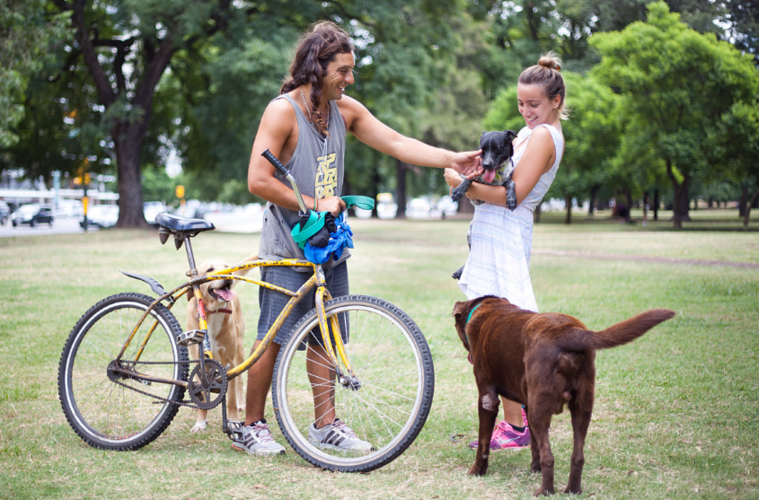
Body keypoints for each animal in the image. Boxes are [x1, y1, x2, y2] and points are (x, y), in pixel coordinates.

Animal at [187, 256, 258, 432]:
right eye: (210, 269)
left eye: (227, 266)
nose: (228, 275)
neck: (213, 312)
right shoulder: (200, 362)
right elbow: (203, 395)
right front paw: (200, 422)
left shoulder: (229, 362)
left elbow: (230, 398)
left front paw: (232, 420)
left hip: (239, 350)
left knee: (239, 381)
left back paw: (241, 404)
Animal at [454, 296, 672, 496]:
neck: (487, 308)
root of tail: (569, 332)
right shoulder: (528, 402)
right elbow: (535, 444)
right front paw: (534, 469)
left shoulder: (488, 398)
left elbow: (483, 445)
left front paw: (476, 471)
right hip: (579, 406)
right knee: (577, 456)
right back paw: (572, 490)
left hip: (541, 408)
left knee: (549, 458)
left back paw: (544, 492)